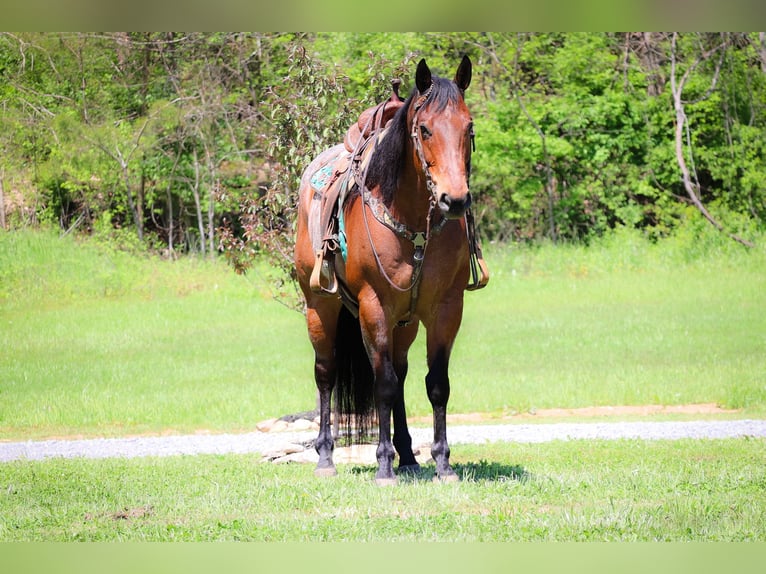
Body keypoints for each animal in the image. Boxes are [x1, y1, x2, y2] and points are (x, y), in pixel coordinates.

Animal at [294, 56, 486, 486]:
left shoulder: (445, 309)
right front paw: (383, 466)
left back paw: (409, 456)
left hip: (406, 323)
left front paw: (442, 463)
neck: (412, 224)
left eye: (469, 128)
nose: (454, 200)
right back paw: (326, 457)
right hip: (319, 306)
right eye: (425, 128)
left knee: (400, 372)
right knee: (326, 373)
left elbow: (436, 385)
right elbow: (381, 384)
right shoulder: (374, 307)